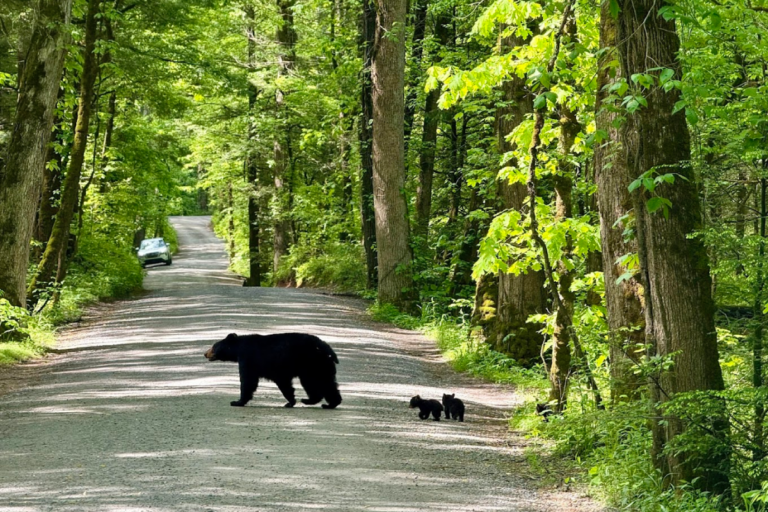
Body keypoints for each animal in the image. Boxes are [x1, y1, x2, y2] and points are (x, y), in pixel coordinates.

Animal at [204, 332, 342, 409]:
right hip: (320, 366)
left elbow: (248, 381)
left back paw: (316, 401)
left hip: (312, 364)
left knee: (316, 382)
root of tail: (326, 348)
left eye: (214, 346)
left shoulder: (248, 359)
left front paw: (237, 402)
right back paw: (328, 403)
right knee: (325, 383)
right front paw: (291, 402)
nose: (205, 353)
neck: (238, 349)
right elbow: (284, 383)